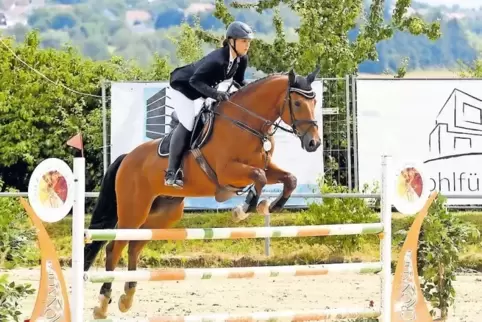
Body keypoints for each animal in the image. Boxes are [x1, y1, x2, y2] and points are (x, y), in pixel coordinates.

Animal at [84, 66, 322, 320]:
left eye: (315, 101)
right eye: (297, 103)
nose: (314, 143)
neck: (246, 123)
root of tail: (126, 158)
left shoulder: (266, 166)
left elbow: (289, 178)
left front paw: (273, 205)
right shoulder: (228, 171)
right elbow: (259, 177)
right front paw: (243, 209)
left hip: (163, 214)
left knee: (134, 246)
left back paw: (127, 298)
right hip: (134, 210)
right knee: (114, 248)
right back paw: (102, 304)